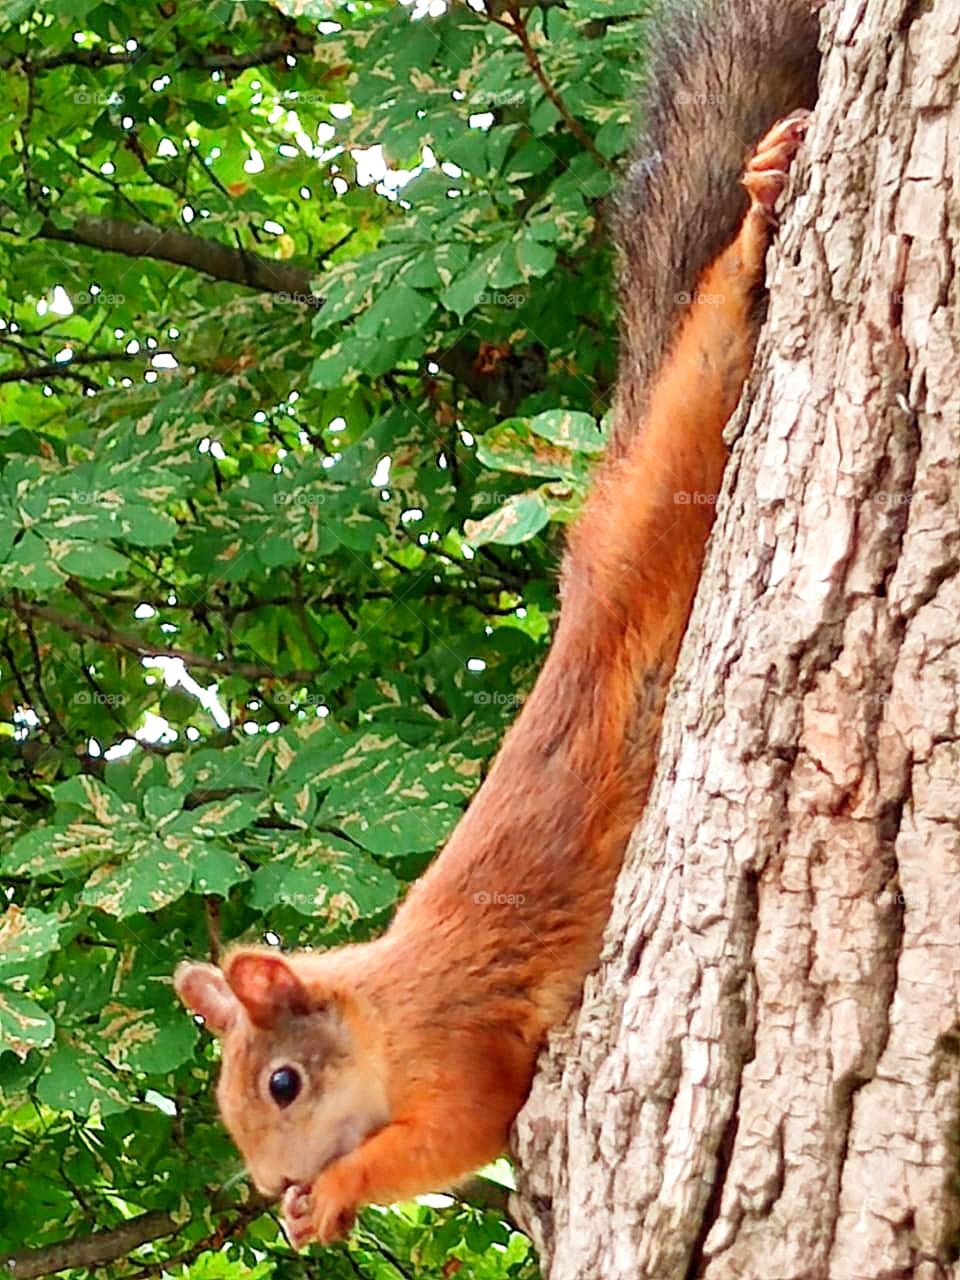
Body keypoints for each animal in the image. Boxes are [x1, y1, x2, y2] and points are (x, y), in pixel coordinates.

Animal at [175, 0, 820, 1250]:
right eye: (232, 1102)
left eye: (282, 1081)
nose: (270, 1185)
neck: (382, 1009)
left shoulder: (463, 1046)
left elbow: (458, 1128)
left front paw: (333, 1192)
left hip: (681, 458)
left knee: (714, 334)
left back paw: (759, 205)